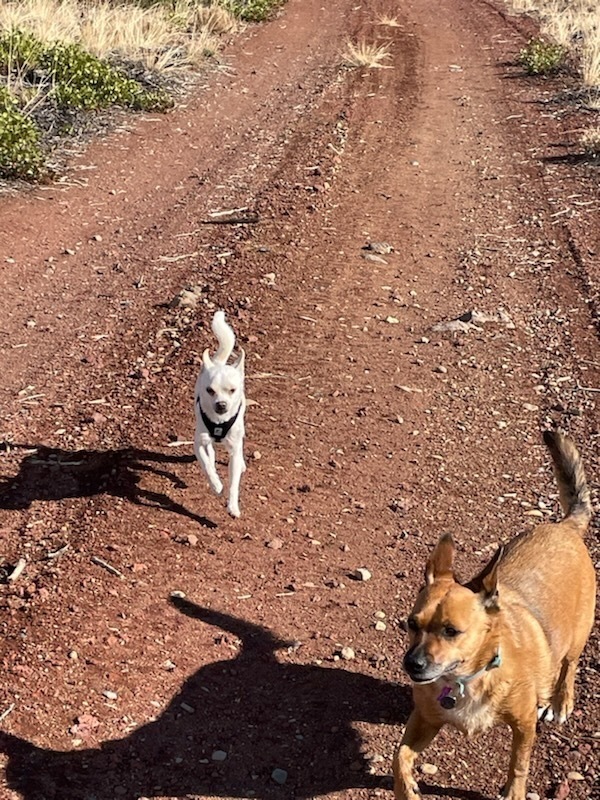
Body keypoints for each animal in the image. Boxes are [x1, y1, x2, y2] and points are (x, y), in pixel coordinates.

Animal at [394, 432, 596, 800]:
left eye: (451, 631)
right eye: (411, 625)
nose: (412, 664)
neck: (466, 680)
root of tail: (565, 527)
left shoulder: (524, 725)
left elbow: (519, 763)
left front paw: (514, 791)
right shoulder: (425, 719)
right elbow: (399, 756)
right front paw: (406, 789)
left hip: (576, 639)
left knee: (569, 667)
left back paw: (561, 702)